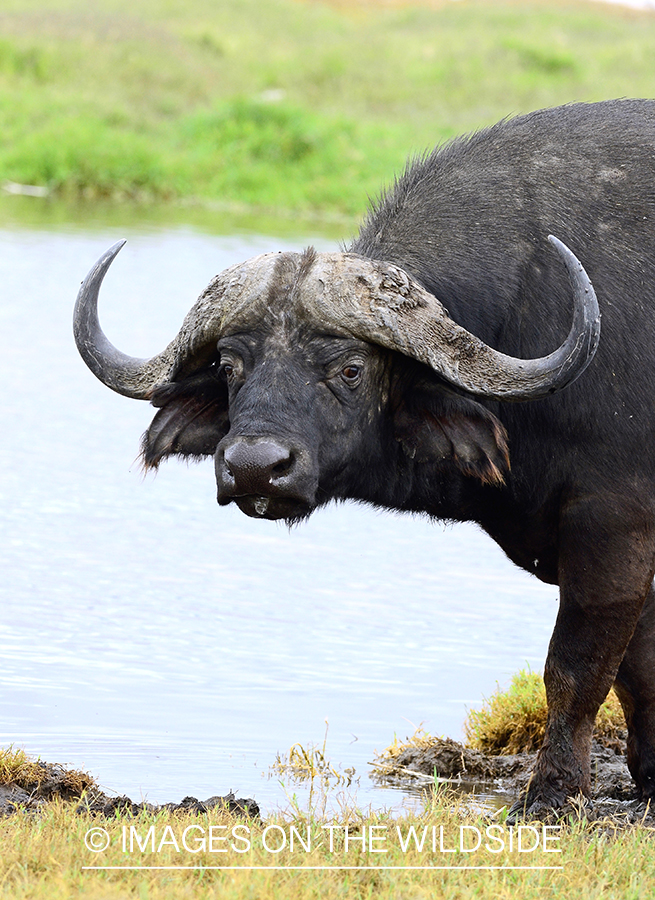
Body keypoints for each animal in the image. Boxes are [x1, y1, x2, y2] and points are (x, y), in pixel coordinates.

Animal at [73, 100, 655, 824]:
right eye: (232, 368)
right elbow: (638, 667)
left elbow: (576, 667)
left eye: (350, 369)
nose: (256, 467)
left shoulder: (613, 526)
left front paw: (551, 796)